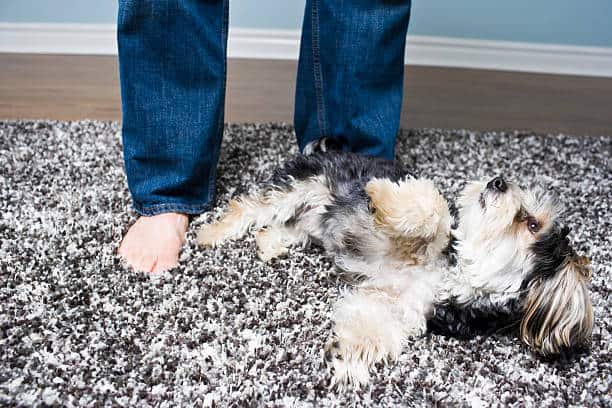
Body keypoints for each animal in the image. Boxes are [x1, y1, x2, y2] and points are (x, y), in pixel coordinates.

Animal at [197, 151, 592, 388]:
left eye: (532, 224)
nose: (498, 180)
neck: (455, 271)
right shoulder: (424, 228)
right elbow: (431, 209)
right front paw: (381, 193)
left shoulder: (398, 305)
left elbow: (373, 326)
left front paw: (346, 354)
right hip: (302, 185)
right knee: (250, 207)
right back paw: (209, 234)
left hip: (310, 221)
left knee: (285, 227)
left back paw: (270, 243)